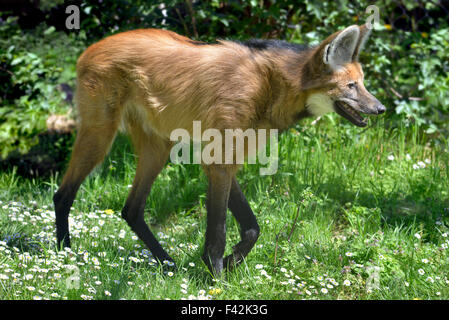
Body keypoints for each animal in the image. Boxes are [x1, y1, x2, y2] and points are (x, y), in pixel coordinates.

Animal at [53, 23, 382, 276]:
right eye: (351, 86)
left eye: (362, 84)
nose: (380, 108)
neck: (271, 85)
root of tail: (90, 49)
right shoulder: (219, 157)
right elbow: (220, 230)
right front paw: (217, 275)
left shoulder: (225, 157)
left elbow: (251, 228)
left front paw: (227, 264)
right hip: (101, 135)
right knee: (63, 194)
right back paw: (65, 256)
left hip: (157, 145)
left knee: (131, 209)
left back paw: (169, 265)